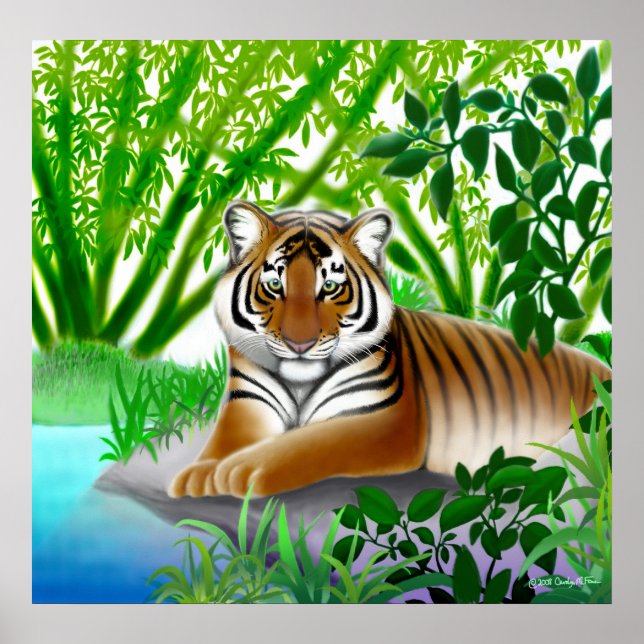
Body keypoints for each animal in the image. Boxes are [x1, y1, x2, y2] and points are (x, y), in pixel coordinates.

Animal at [168, 199, 611, 499]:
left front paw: (241, 470)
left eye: (330, 287)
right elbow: (225, 441)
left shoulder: (380, 420)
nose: (299, 344)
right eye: (275, 284)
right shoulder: (248, 402)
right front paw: (200, 473)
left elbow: (305, 445)